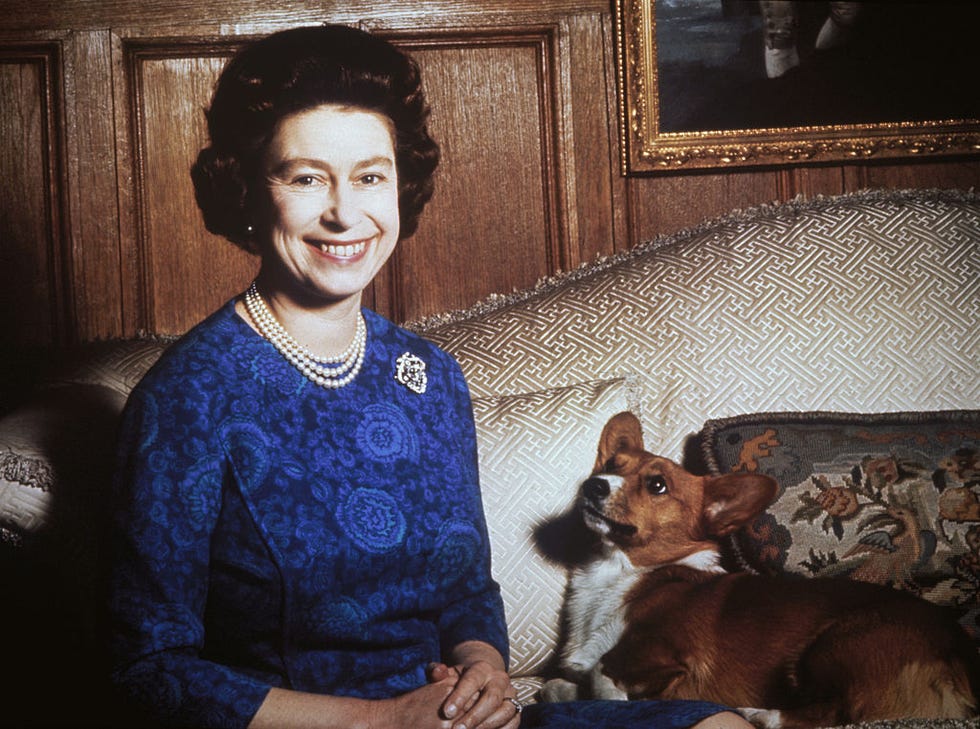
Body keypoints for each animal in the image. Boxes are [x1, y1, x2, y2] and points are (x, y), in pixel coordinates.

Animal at [544, 412, 980, 724]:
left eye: (657, 485)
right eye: (611, 465)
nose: (594, 485)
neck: (618, 573)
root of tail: (964, 654)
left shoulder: (670, 655)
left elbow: (603, 672)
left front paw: (611, 694)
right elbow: (562, 683)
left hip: (834, 643)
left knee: (837, 712)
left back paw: (760, 714)